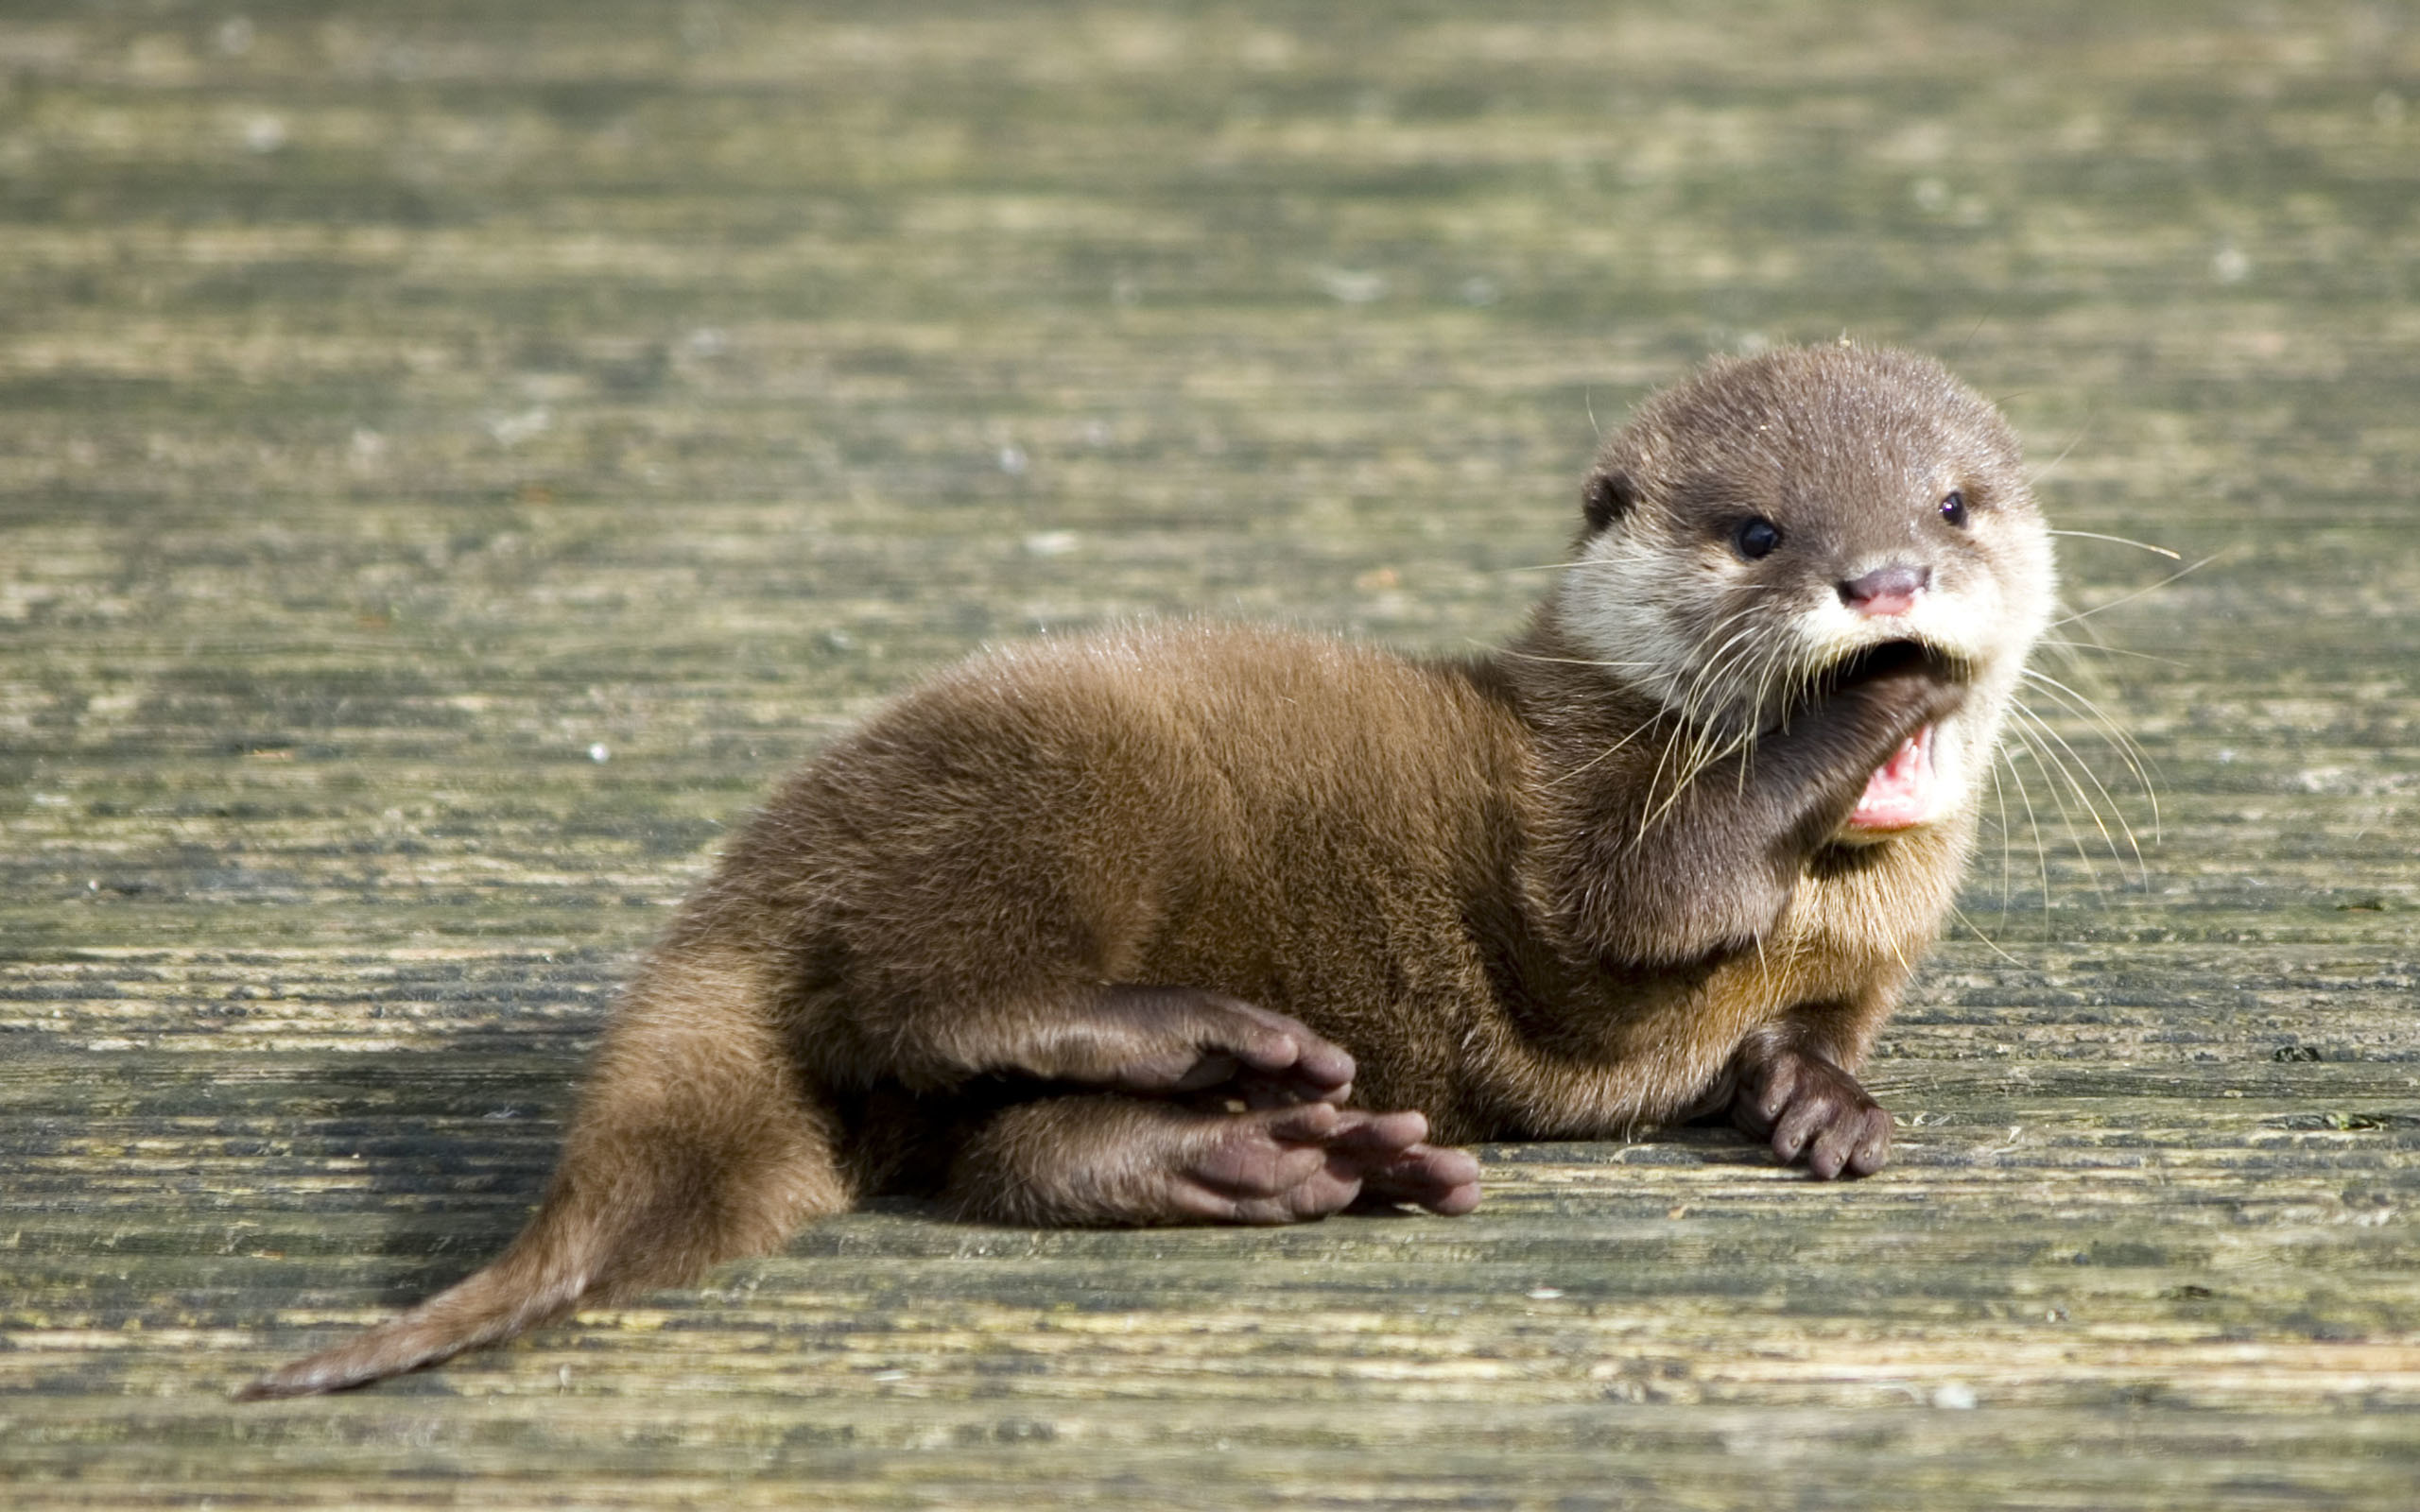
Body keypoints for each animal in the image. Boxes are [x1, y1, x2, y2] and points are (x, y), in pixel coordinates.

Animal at [240, 338, 2062, 1393]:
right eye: (1758, 532)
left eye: (1953, 505)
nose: (1885, 582)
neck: (1843, 905)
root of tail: (768, 858)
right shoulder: (1585, 814)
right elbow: (1672, 883)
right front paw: (1878, 699)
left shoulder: (1859, 963)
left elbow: (1815, 1032)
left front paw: (1821, 1100)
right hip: (1058, 799)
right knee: (934, 996)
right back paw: (1223, 1052)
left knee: (999, 1148)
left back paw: (1282, 1155)